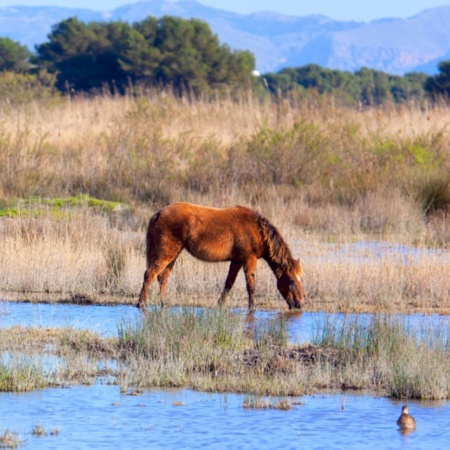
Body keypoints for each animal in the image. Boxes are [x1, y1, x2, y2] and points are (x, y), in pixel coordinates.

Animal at [139, 203, 304, 310]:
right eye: (291, 280)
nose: (300, 304)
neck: (258, 229)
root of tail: (158, 214)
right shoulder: (248, 259)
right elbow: (251, 285)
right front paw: (252, 307)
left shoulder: (236, 261)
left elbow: (228, 283)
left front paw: (220, 304)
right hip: (166, 253)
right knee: (150, 274)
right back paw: (141, 303)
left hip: (172, 255)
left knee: (163, 278)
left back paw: (163, 304)